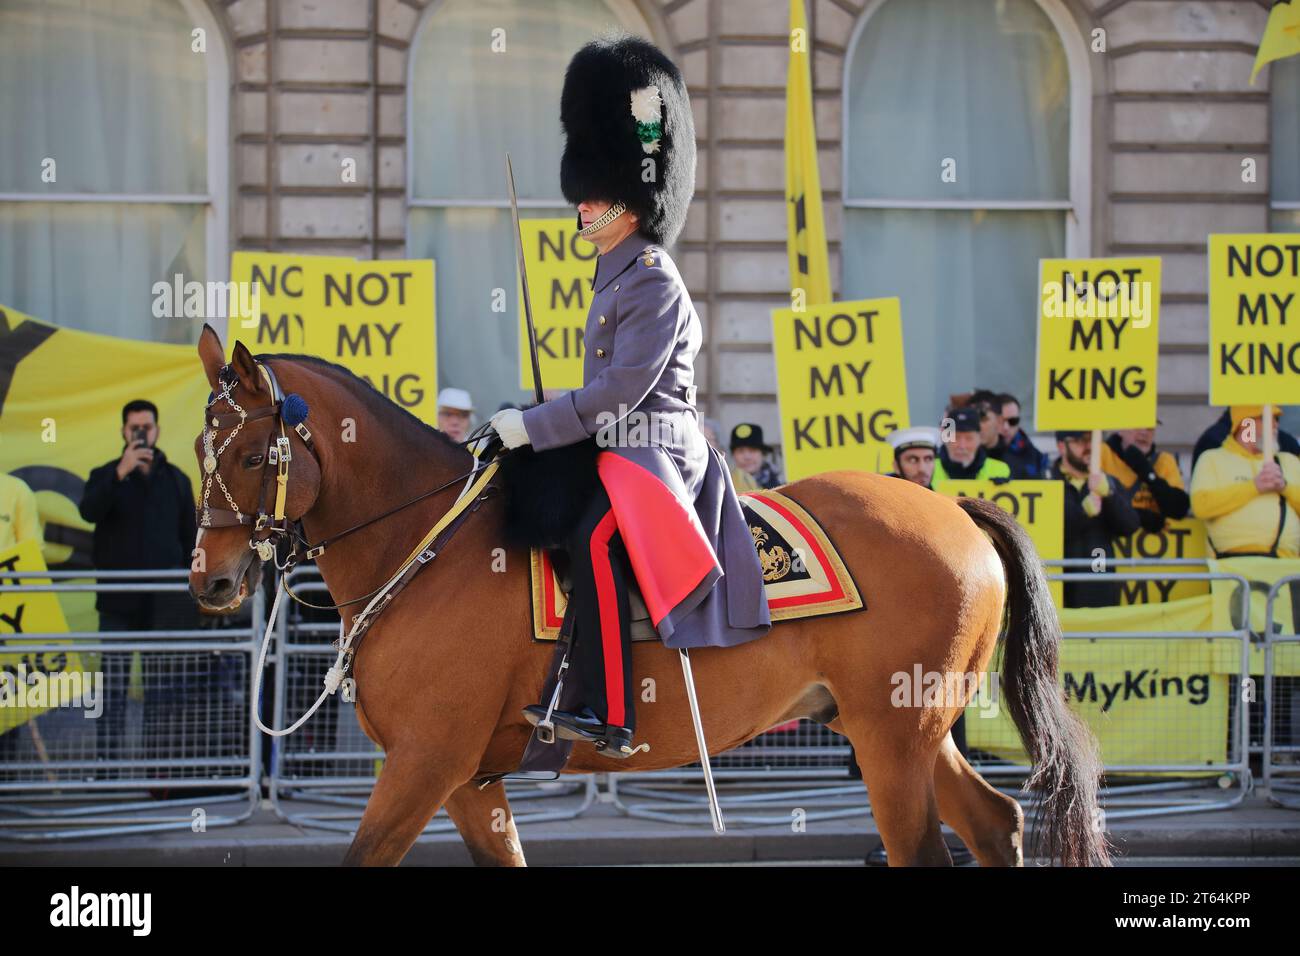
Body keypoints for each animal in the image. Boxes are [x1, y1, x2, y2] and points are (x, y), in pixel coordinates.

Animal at [188, 327, 1112, 868]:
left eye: (249, 455)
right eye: (201, 447)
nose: (209, 579)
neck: (425, 542)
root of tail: (950, 505)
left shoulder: (426, 762)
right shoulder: (469, 779)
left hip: (893, 737)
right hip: (908, 730)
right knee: (994, 822)